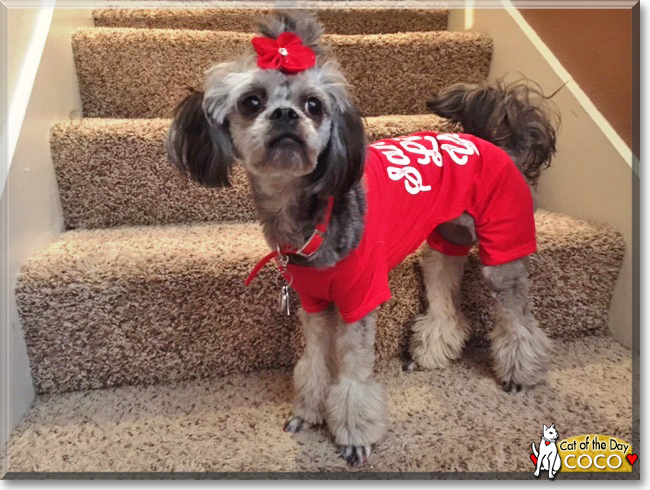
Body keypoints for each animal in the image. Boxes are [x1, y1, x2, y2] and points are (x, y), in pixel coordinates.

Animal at [167, 10, 556, 464]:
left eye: (313, 105)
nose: (285, 115)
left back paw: (520, 373)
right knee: (446, 301)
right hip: (444, 244)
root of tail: (497, 144)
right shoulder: (314, 303)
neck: (310, 219)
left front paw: (354, 436)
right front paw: (309, 412)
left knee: (518, 319)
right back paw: (431, 354)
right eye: (251, 102)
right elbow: (315, 363)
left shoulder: (360, 299)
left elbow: (353, 378)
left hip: (502, 252)